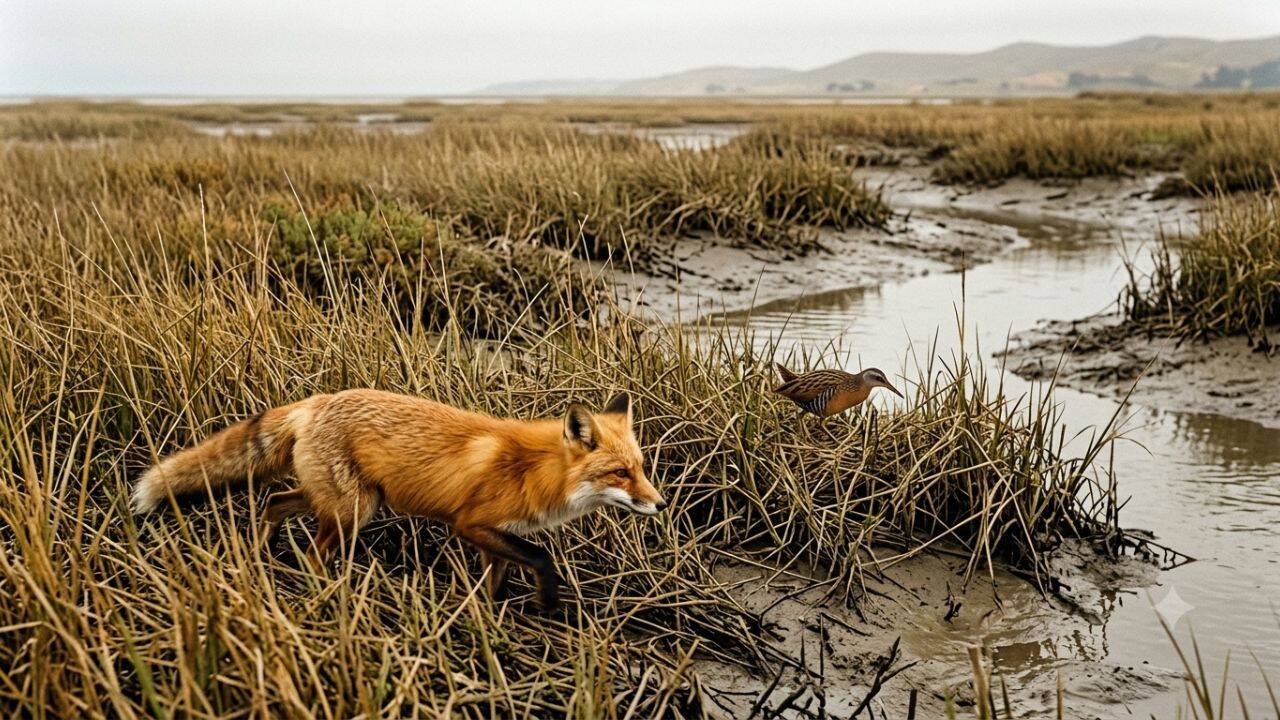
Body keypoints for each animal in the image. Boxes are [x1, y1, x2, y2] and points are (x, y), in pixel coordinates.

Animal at [131, 389, 665, 611]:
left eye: (641, 468)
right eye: (620, 473)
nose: (660, 505)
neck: (534, 471)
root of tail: (316, 401)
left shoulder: (495, 538)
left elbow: (495, 583)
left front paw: (488, 622)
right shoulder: (471, 524)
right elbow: (542, 556)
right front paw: (548, 601)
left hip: (336, 500)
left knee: (274, 502)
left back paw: (260, 555)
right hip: (353, 511)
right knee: (313, 553)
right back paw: (322, 593)